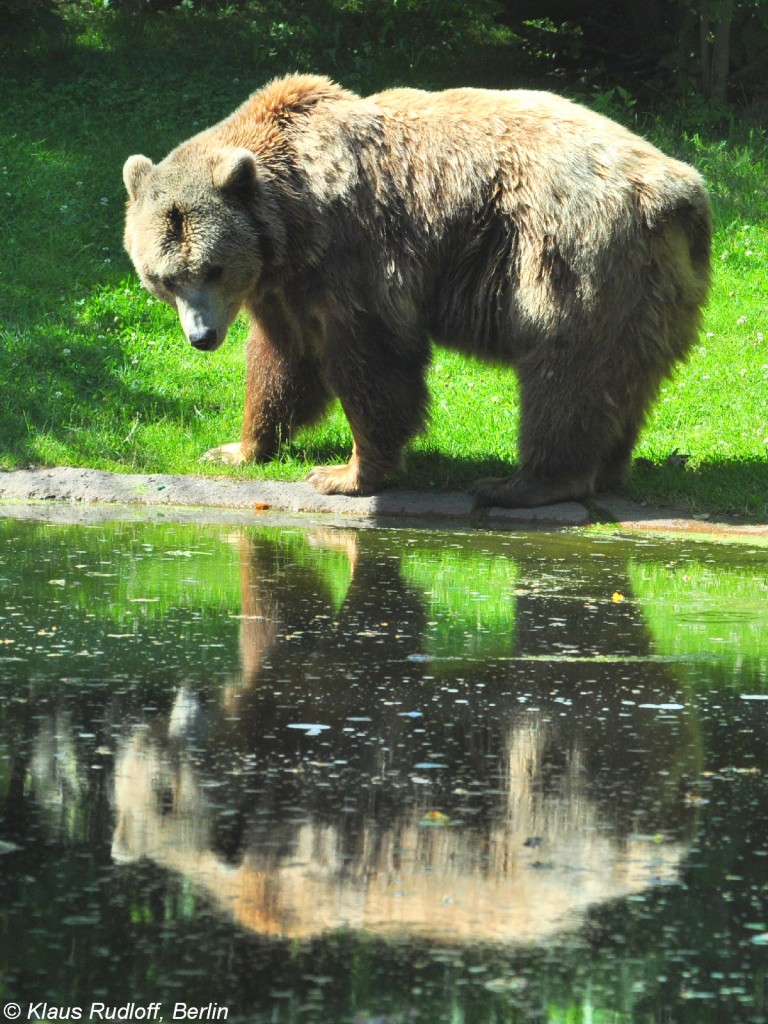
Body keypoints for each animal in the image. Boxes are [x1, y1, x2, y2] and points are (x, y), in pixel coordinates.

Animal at [123, 73, 712, 507]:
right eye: (165, 277)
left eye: (214, 267)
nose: (202, 337)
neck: (292, 224)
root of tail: (678, 189)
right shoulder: (287, 287)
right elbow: (284, 363)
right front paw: (237, 448)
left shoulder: (355, 258)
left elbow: (373, 362)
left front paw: (345, 472)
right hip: (651, 289)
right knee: (621, 378)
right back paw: (606, 468)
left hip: (571, 254)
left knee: (565, 372)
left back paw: (521, 483)